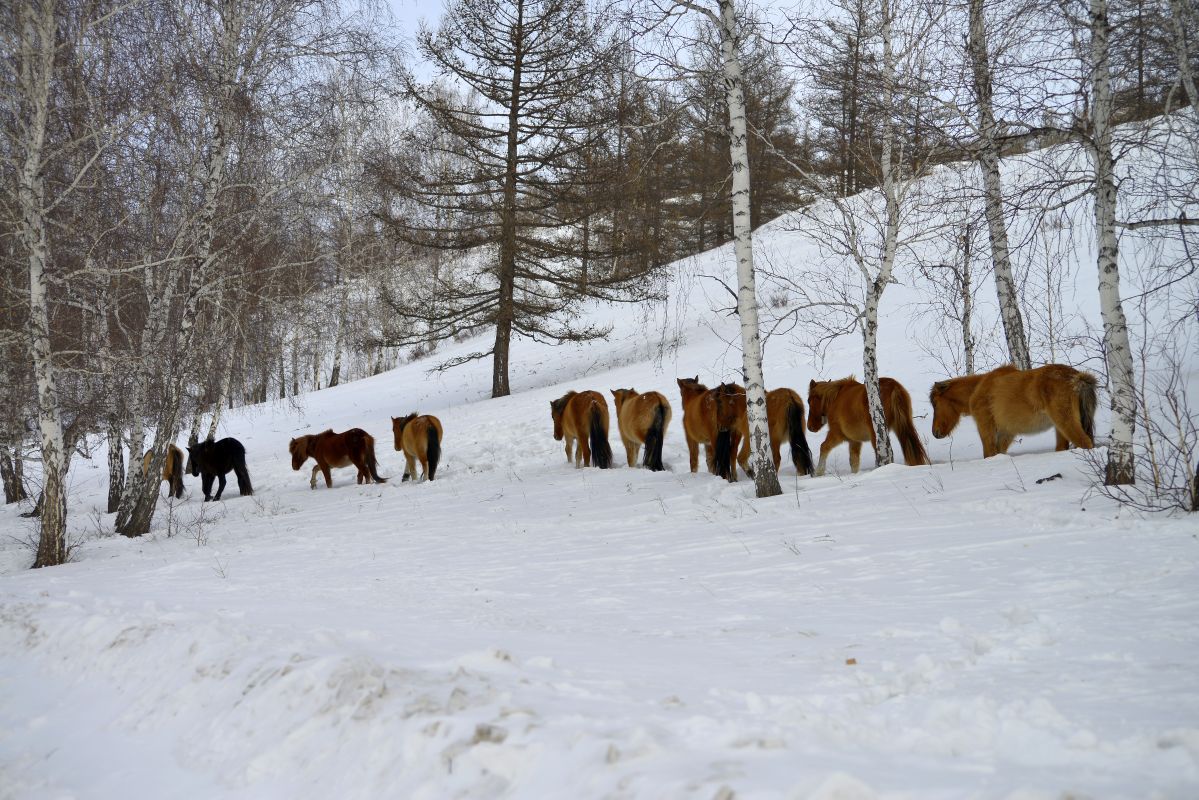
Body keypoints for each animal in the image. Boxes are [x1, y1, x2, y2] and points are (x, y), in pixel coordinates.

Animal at [925, 362, 1098, 455]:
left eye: (935, 404)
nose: (935, 432)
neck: (977, 389)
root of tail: (1078, 378)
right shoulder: (1006, 432)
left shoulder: (985, 427)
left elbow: (989, 453)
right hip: (1060, 429)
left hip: (1066, 423)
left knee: (1085, 442)